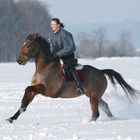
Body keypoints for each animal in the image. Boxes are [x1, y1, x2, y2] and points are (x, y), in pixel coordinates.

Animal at [7, 33, 139, 122]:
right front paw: (13, 117)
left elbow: (27, 89)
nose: (19, 61)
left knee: (96, 113)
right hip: (94, 95)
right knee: (105, 106)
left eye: (28, 45)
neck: (45, 67)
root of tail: (101, 72)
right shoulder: (36, 89)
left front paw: (20, 110)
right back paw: (112, 119)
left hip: (94, 96)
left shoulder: (46, 90)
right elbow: (26, 97)